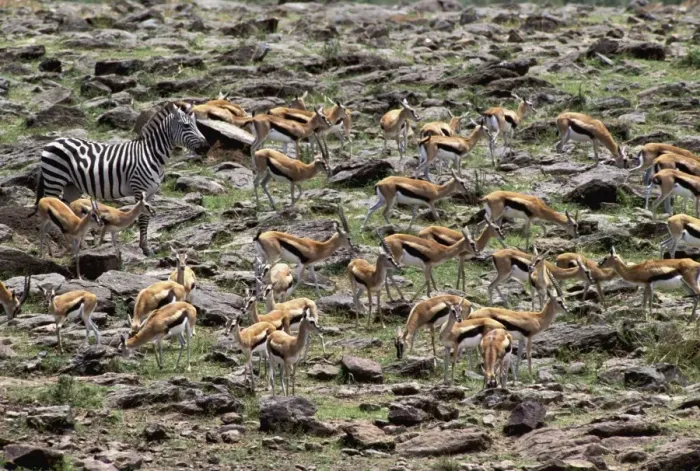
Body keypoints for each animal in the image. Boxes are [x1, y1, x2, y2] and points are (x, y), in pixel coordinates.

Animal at [32, 102, 209, 255]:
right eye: (186, 126)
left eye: (196, 124)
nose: (206, 147)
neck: (151, 155)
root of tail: (52, 142)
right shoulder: (140, 188)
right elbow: (142, 219)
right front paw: (145, 248)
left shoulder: (151, 192)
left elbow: (145, 216)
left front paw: (146, 246)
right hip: (55, 179)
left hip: (71, 185)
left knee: (65, 209)